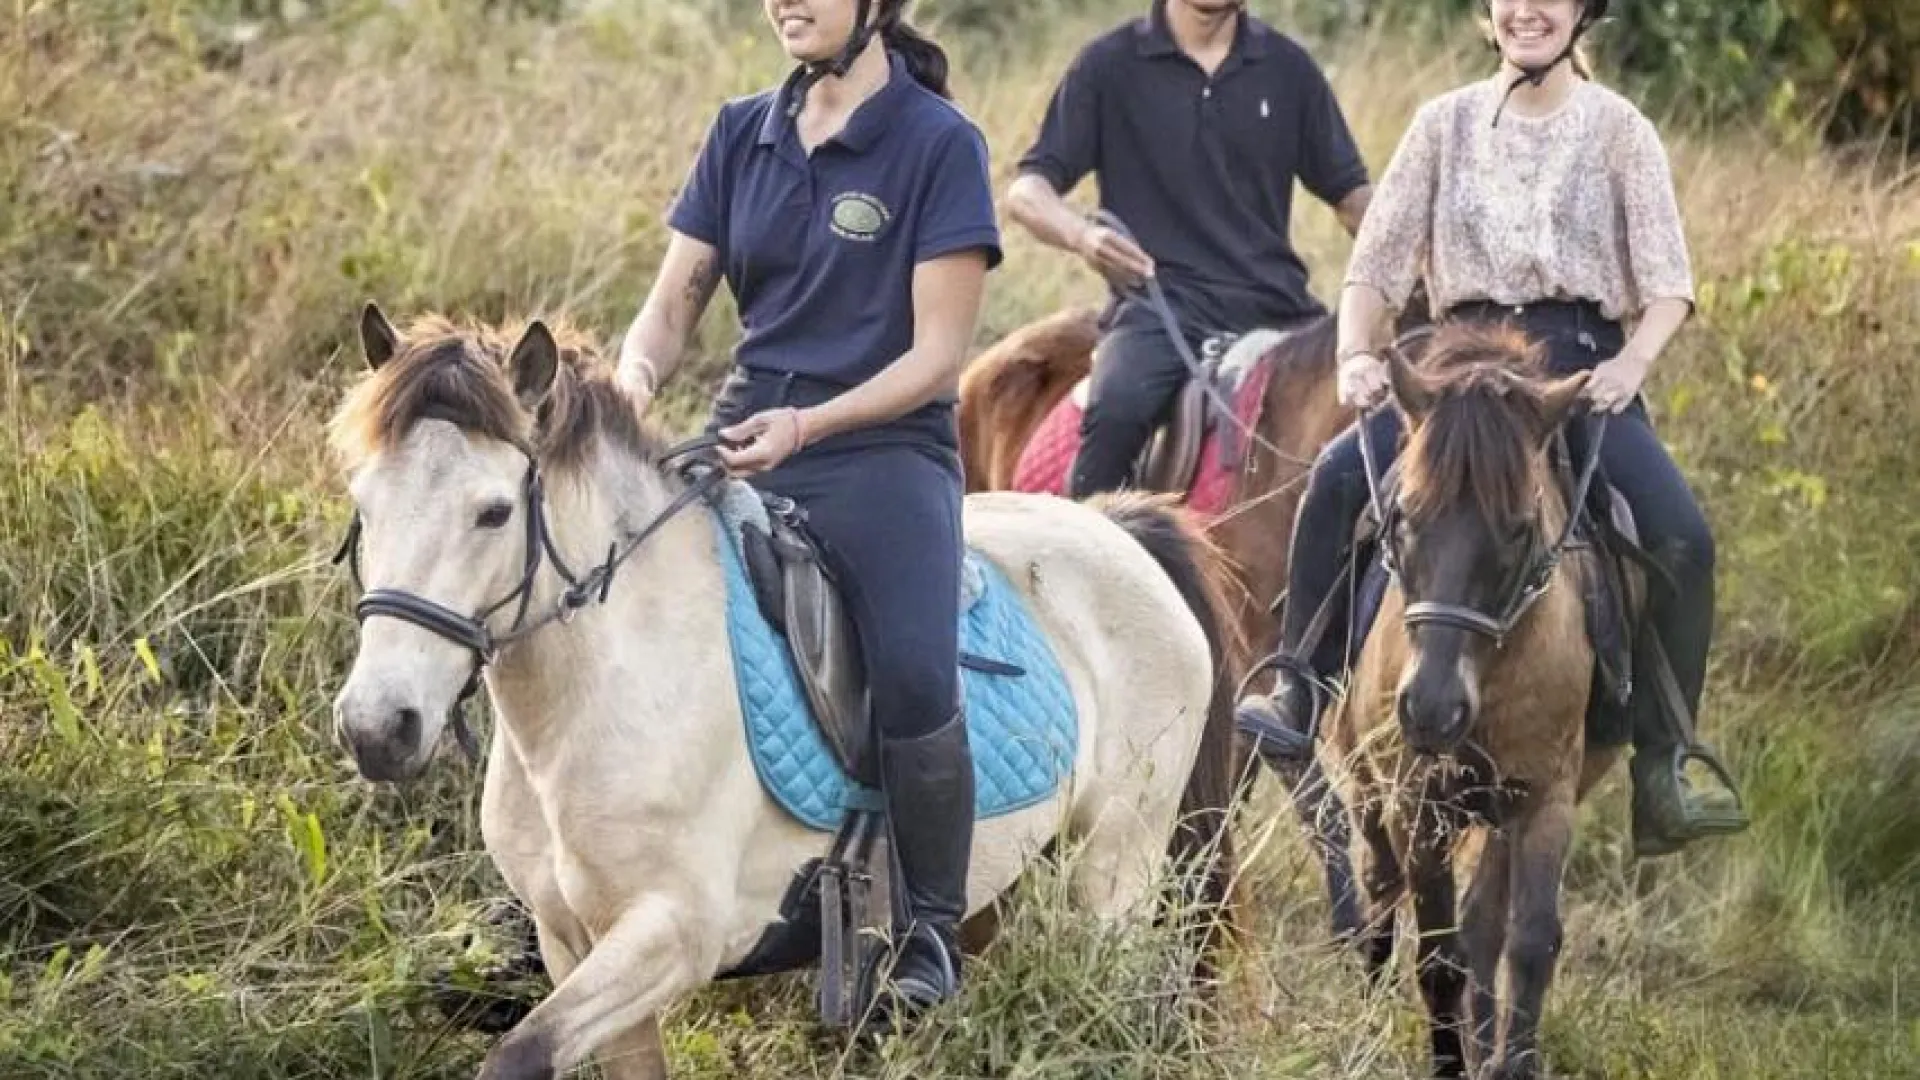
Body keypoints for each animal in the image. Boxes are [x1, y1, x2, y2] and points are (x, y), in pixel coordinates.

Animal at [326, 305, 1246, 1080]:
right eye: (363, 504)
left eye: (492, 512)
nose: (378, 726)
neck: (603, 694)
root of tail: (1118, 527)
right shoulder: (569, 939)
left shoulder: (674, 934)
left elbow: (519, 1055)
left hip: (1116, 875)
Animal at [1319, 324, 1624, 1080]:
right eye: (1405, 517)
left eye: (1518, 527)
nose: (1432, 711)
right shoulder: (1418, 803)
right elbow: (1437, 958)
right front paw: (1450, 1062)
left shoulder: (1545, 796)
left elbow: (1530, 940)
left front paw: (1512, 1063)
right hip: (1369, 790)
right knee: (1379, 891)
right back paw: (1369, 1016)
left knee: (1486, 919)